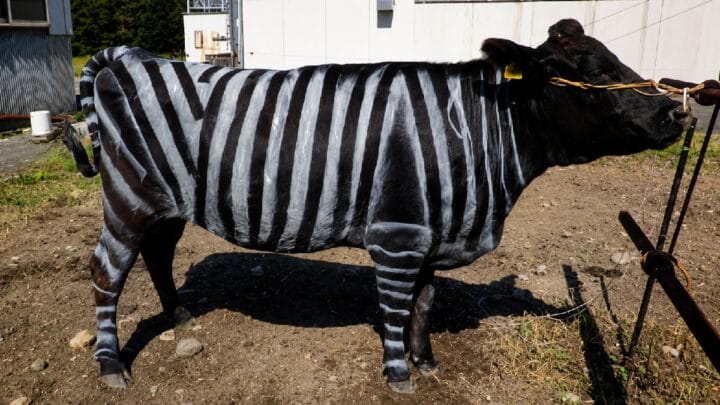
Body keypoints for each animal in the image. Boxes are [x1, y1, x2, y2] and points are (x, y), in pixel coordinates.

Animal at [63, 19, 686, 393]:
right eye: (594, 73)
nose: (679, 112)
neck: (475, 132)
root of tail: (129, 57)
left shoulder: (434, 231)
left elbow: (425, 303)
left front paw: (427, 361)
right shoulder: (398, 233)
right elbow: (394, 307)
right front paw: (398, 375)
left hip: (167, 200)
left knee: (159, 255)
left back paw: (180, 316)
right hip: (130, 194)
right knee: (108, 270)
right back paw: (112, 366)